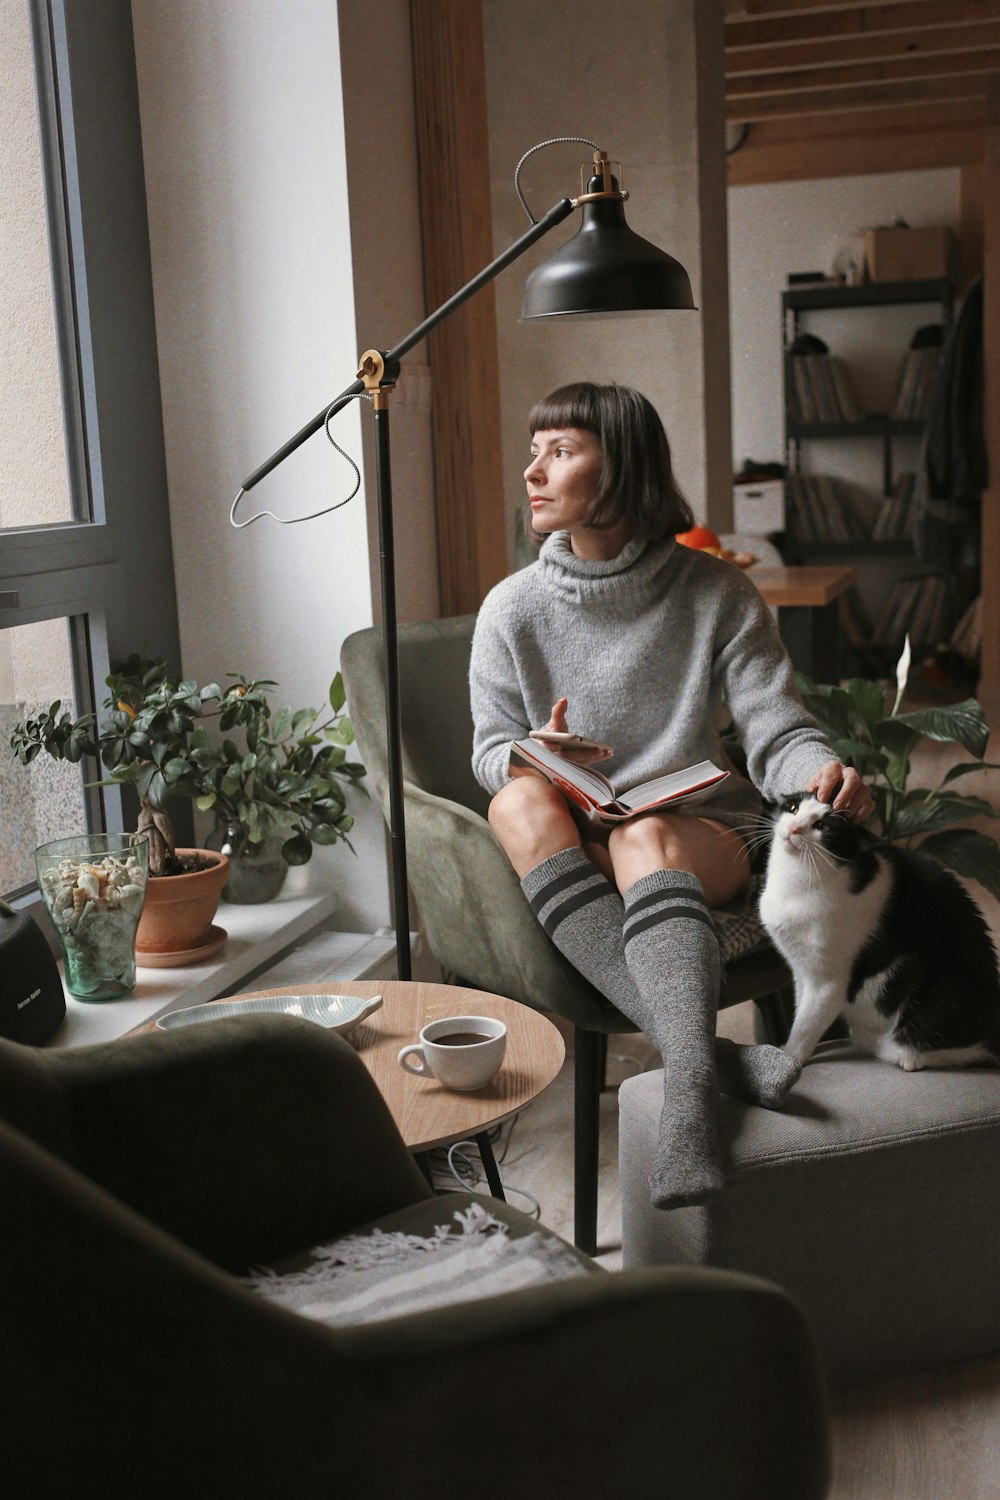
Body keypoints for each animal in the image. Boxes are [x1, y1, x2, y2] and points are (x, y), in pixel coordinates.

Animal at [758, 792, 1000, 1074]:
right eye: (794, 808)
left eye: (822, 826)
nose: (794, 828)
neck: (794, 882)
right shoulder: (800, 969)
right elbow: (799, 1009)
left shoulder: (828, 982)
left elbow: (807, 1024)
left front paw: (788, 1057)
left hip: (935, 997)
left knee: (944, 1051)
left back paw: (888, 1048)